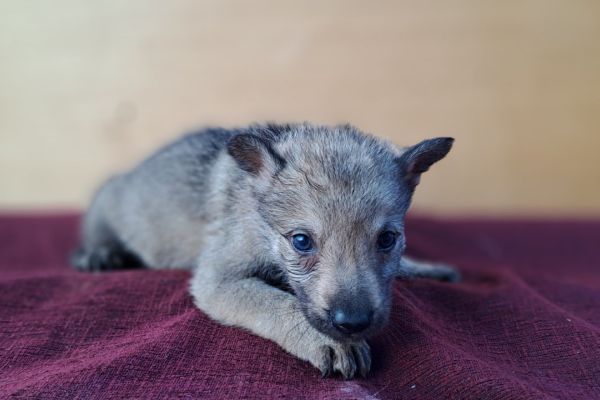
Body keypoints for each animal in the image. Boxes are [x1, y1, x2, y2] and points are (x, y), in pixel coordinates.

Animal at [72, 122, 458, 378]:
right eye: (301, 241)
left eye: (387, 239)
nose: (353, 322)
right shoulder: (219, 278)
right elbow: (275, 302)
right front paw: (324, 340)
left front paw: (426, 267)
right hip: (110, 200)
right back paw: (98, 253)